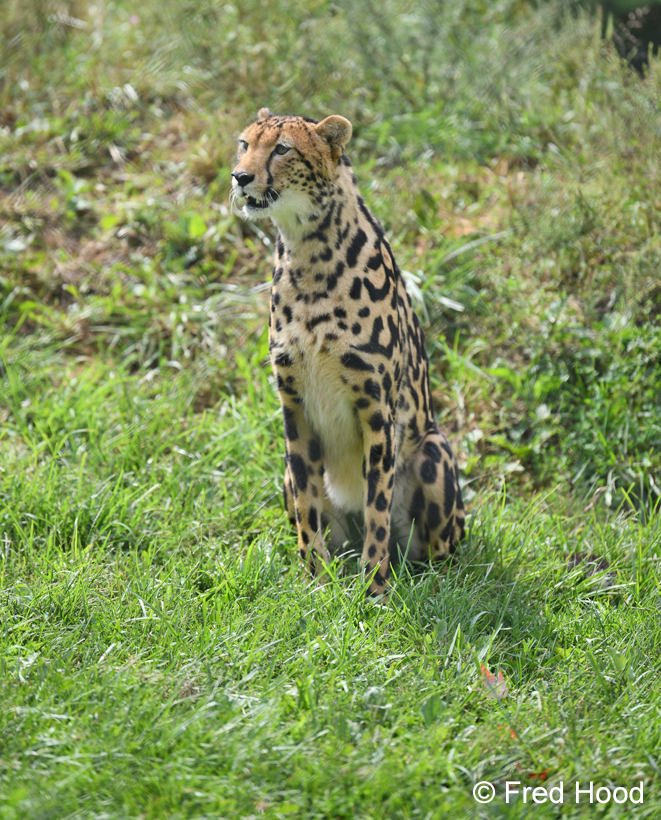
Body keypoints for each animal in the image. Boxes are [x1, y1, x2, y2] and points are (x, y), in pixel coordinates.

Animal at [231, 108, 466, 596]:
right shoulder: (294, 405)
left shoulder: (376, 407)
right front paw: (313, 582)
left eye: (282, 149)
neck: (308, 251)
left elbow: (377, 503)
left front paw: (374, 587)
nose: (239, 177)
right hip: (285, 472)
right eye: (245, 144)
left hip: (433, 450)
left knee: (439, 555)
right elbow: (307, 503)